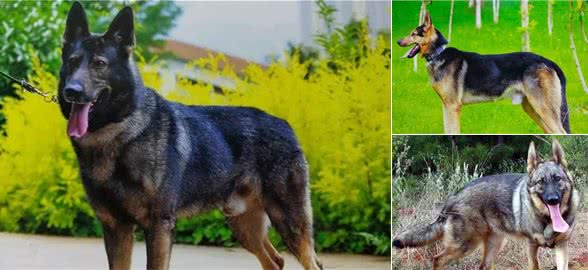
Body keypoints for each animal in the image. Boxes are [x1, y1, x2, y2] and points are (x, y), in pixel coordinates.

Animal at [58, 2, 324, 270]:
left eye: (100, 63)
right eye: (72, 61)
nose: (72, 91)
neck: (118, 130)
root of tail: (285, 124)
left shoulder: (159, 225)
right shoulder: (116, 228)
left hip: (288, 221)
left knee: (310, 263)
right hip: (245, 226)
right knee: (276, 261)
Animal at [392, 140, 580, 268]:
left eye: (557, 179)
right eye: (541, 182)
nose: (553, 199)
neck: (548, 220)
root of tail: (452, 197)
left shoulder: (562, 246)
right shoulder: (531, 246)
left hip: (493, 246)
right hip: (465, 246)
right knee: (437, 259)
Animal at [396, 11, 568, 134]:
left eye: (413, 34)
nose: (397, 42)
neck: (438, 53)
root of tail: (548, 61)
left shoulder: (453, 107)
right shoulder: (446, 106)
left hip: (542, 108)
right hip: (533, 109)